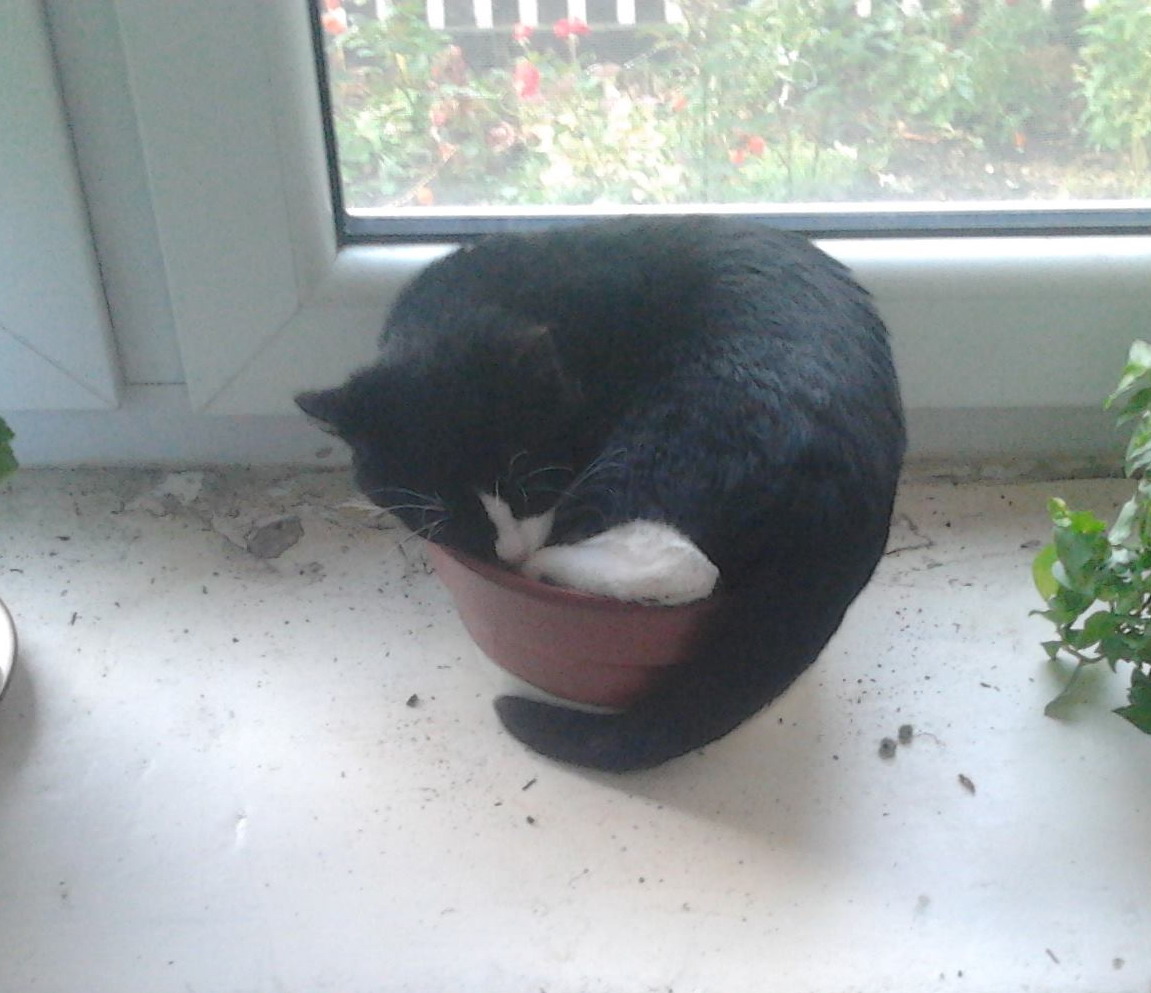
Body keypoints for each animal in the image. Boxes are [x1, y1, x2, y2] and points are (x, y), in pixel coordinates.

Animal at [296, 215, 905, 772]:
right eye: (442, 513)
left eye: (530, 482)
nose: (509, 551)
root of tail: (857, 490)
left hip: (677, 434)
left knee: (684, 565)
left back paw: (547, 567)